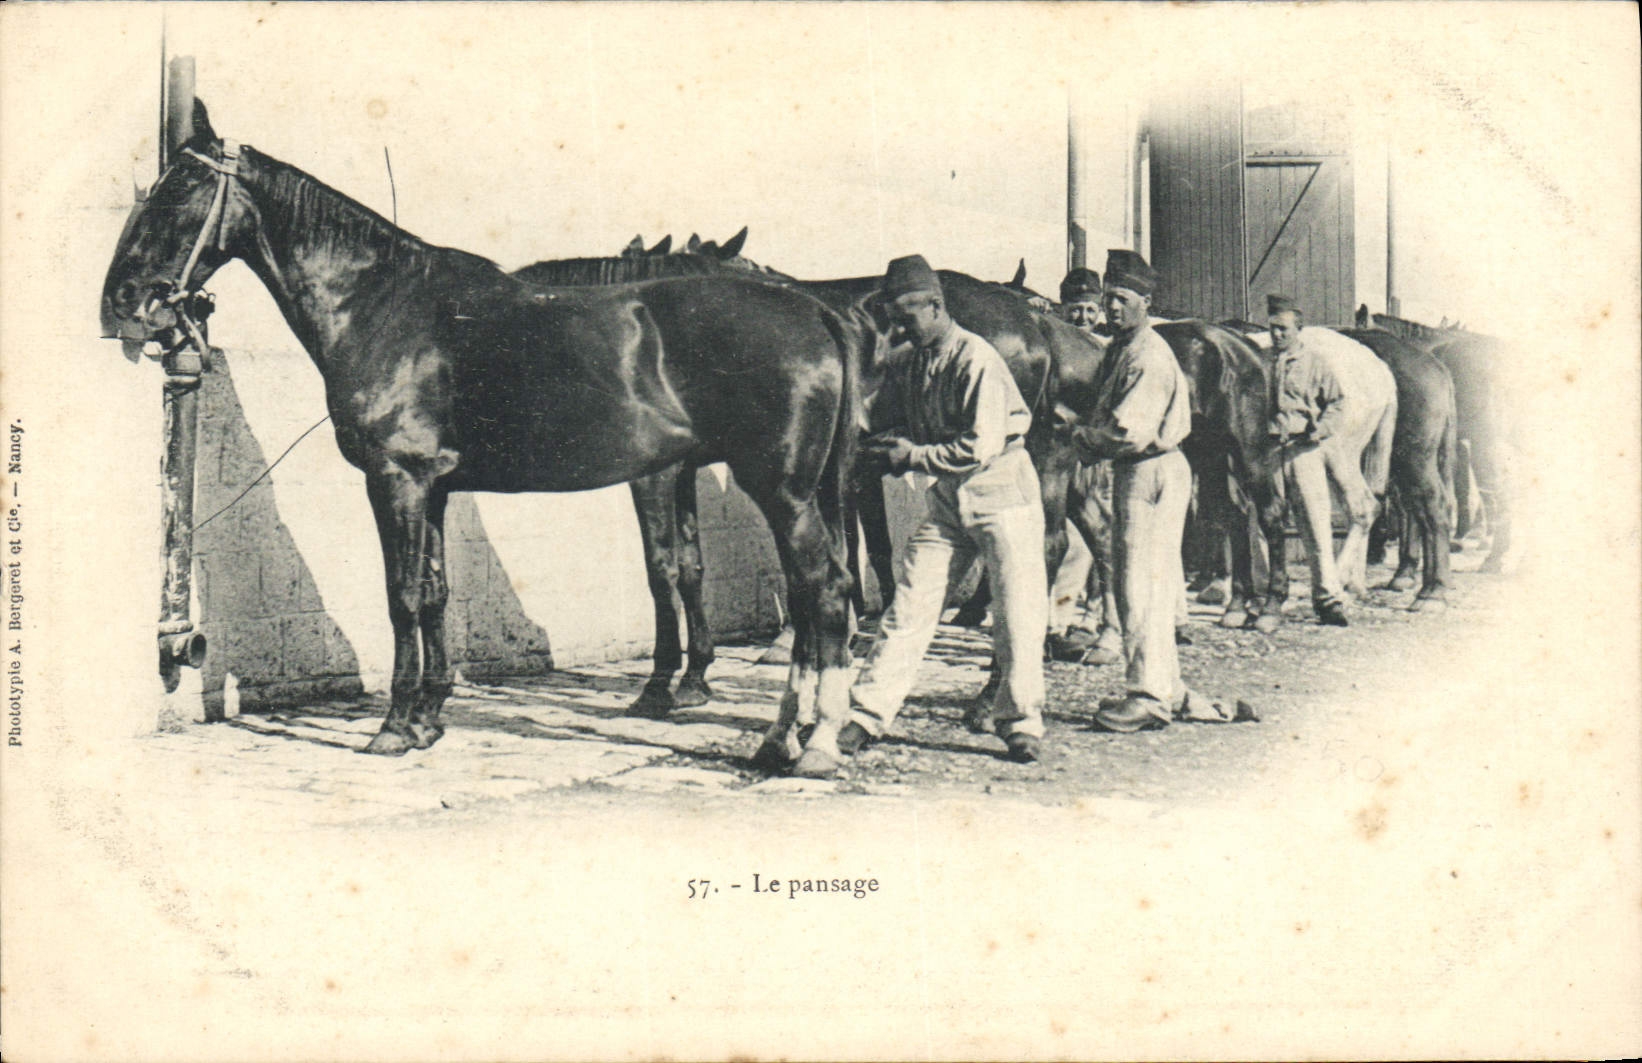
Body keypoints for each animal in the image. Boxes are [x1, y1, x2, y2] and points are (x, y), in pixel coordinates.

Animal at [100, 101, 865, 775]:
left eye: (178, 193)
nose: (120, 301)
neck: (383, 304)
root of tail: (816, 309)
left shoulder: (398, 480)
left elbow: (403, 595)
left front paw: (394, 726)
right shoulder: (434, 487)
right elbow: (436, 591)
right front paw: (428, 719)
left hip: (783, 492)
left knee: (823, 592)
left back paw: (814, 745)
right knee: (819, 596)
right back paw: (785, 738)